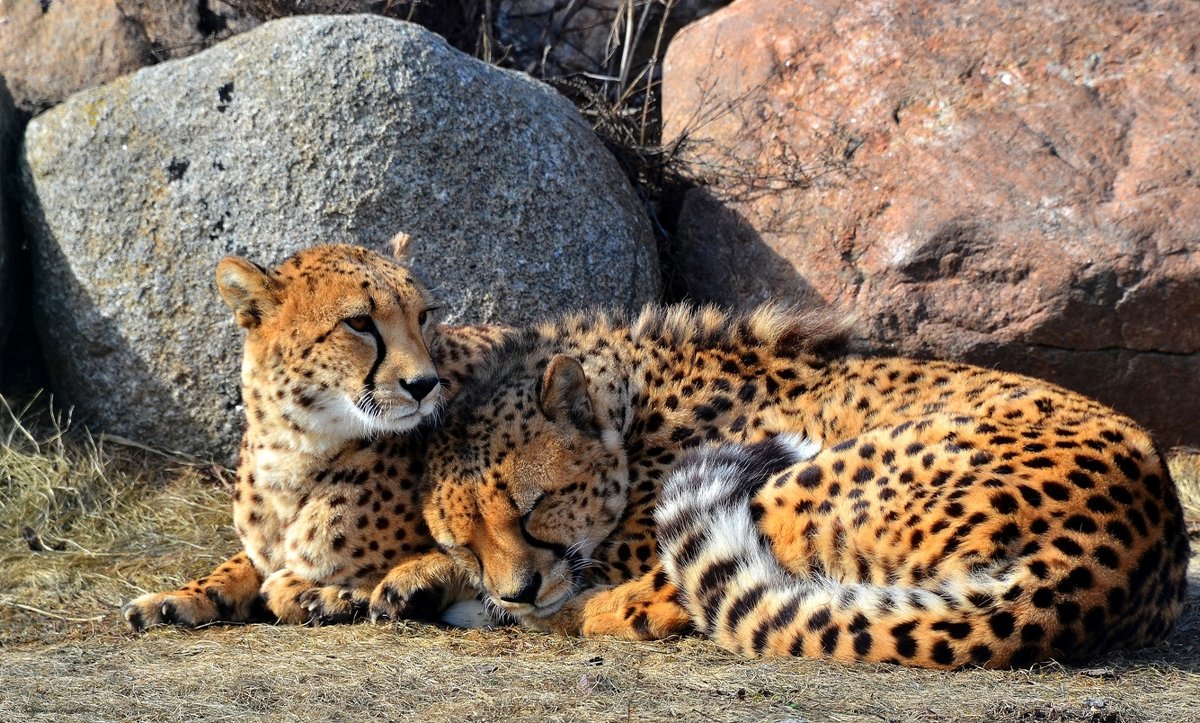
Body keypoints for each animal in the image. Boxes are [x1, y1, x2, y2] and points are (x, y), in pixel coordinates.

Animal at [124, 238, 508, 629]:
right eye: (358, 322)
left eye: (422, 317)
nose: (424, 384)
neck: (293, 447)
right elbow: (240, 562)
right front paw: (180, 597)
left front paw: (333, 593)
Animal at [396, 302, 1190, 662]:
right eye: (466, 538)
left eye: (535, 508)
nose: (516, 590)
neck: (633, 405)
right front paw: (420, 575)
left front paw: (443, 588)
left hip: (800, 480)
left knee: (662, 598)